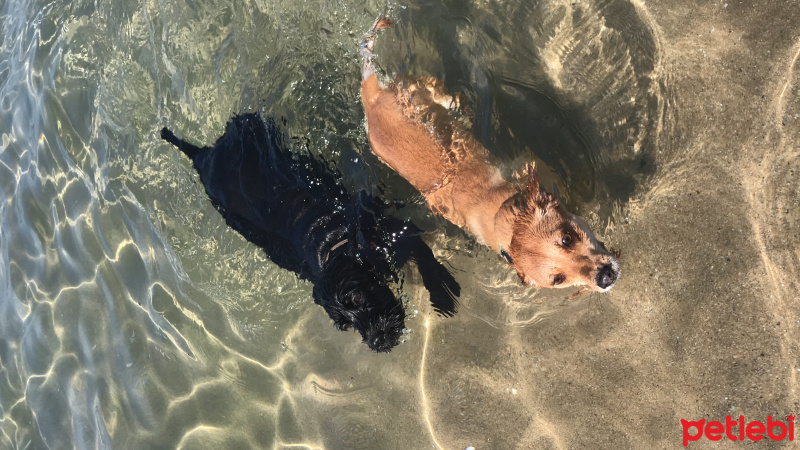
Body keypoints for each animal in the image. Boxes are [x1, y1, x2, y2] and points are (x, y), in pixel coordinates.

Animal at [161, 113, 456, 352]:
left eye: (358, 297)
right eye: (346, 325)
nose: (377, 340)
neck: (334, 244)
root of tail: (204, 154)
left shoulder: (397, 233)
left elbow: (427, 260)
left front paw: (443, 294)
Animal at [360, 18, 620, 292]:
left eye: (567, 238)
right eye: (558, 279)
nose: (606, 277)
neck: (504, 212)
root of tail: (371, 100)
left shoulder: (530, 165)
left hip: (423, 91)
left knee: (447, 96)